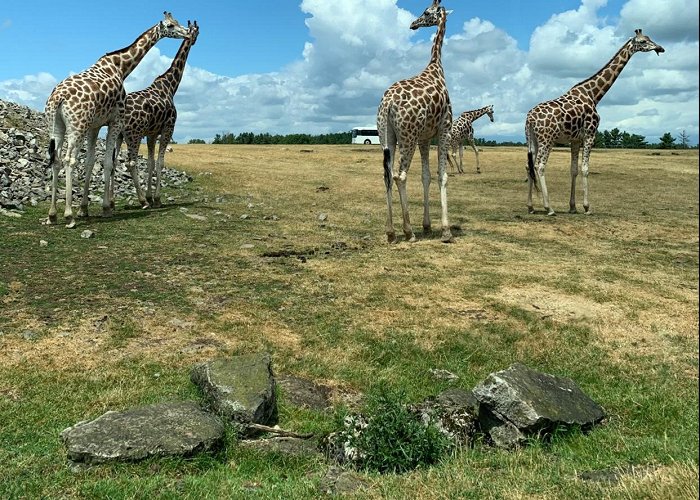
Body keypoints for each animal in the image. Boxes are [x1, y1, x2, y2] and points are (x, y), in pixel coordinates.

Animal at [45, 12, 190, 227]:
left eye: (178, 22)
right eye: (171, 26)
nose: (186, 33)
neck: (121, 67)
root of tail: (58, 98)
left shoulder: (95, 126)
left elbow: (90, 162)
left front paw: (84, 209)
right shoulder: (116, 120)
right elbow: (108, 162)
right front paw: (105, 208)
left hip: (56, 127)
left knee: (55, 159)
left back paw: (52, 214)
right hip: (77, 126)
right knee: (69, 159)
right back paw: (68, 215)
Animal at [115, 20, 200, 209]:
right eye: (197, 32)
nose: (192, 40)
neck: (171, 86)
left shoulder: (152, 133)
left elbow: (151, 162)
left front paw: (151, 196)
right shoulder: (168, 128)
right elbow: (160, 163)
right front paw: (157, 199)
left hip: (119, 135)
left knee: (112, 161)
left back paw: (110, 203)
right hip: (134, 134)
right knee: (130, 163)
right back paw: (141, 201)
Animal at [378, 0, 454, 242]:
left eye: (426, 12)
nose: (413, 24)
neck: (436, 67)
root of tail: (387, 103)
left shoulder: (425, 138)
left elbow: (426, 176)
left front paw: (428, 225)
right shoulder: (444, 130)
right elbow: (442, 176)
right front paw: (446, 231)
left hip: (388, 136)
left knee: (387, 175)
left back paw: (391, 232)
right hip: (407, 136)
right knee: (399, 176)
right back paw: (408, 231)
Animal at [524, 28, 668, 217]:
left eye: (650, 38)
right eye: (643, 41)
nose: (660, 48)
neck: (594, 95)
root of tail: (529, 118)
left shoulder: (575, 139)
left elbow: (574, 170)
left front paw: (573, 206)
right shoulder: (591, 134)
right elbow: (585, 169)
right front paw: (587, 207)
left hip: (532, 140)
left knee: (529, 167)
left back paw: (531, 206)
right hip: (547, 139)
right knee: (539, 166)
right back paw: (549, 208)